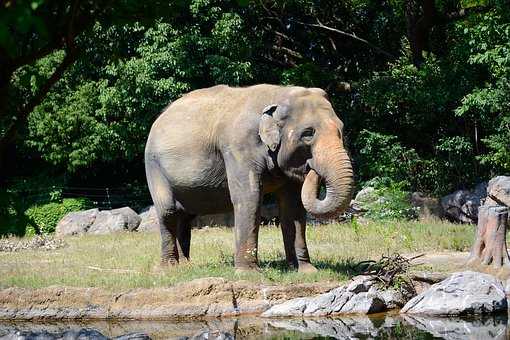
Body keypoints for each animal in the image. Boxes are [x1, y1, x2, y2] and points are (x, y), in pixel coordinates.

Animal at [142, 83, 350, 272]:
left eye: (341, 130)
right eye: (308, 133)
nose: (312, 169)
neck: (278, 93)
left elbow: (293, 206)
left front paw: (306, 271)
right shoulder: (238, 147)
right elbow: (249, 198)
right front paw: (248, 273)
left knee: (185, 216)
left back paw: (186, 267)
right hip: (153, 166)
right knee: (168, 211)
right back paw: (167, 269)